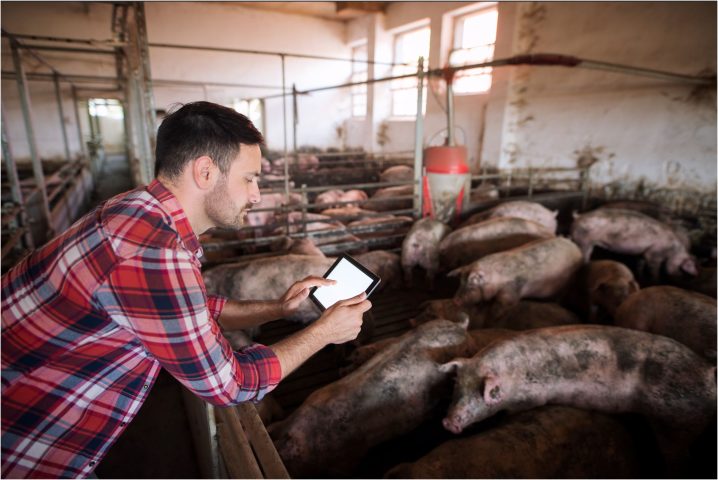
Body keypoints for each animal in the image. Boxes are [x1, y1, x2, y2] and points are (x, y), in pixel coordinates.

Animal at [442, 324, 716, 466]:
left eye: (484, 393)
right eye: (457, 388)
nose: (447, 422)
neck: (513, 376)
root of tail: (707, 373)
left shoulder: (529, 399)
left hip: (676, 419)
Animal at [452, 236, 588, 308]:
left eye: (471, 285)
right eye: (460, 283)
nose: (455, 301)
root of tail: (577, 249)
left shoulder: (511, 290)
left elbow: (506, 301)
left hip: (569, 280)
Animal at [572, 207, 700, 278]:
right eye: (683, 265)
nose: (695, 275)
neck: (673, 250)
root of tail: (579, 216)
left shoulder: (643, 253)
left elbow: (640, 265)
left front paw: (640, 276)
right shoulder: (655, 254)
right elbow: (654, 269)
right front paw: (655, 280)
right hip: (585, 241)